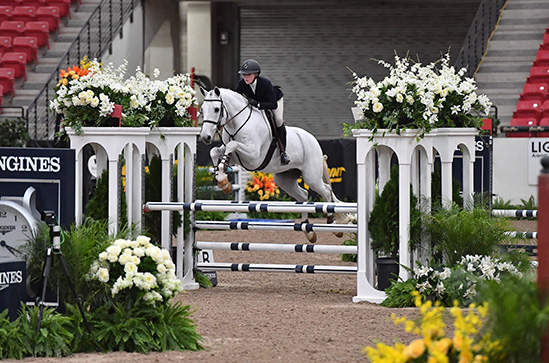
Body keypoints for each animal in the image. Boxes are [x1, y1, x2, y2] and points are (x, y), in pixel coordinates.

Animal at [199, 86, 340, 243]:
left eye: (216, 109)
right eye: (202, 109)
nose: (205, 137)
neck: (237, 123)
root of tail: (313, 141)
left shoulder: (253, 156)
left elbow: (232, 145)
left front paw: (223, 179)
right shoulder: (238, 157)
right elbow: (215, 151)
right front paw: (222, 179)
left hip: (311, 177)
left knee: (326, 191)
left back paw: (333, 224)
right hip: (285, 179)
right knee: (303, 195)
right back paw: (308, 231)